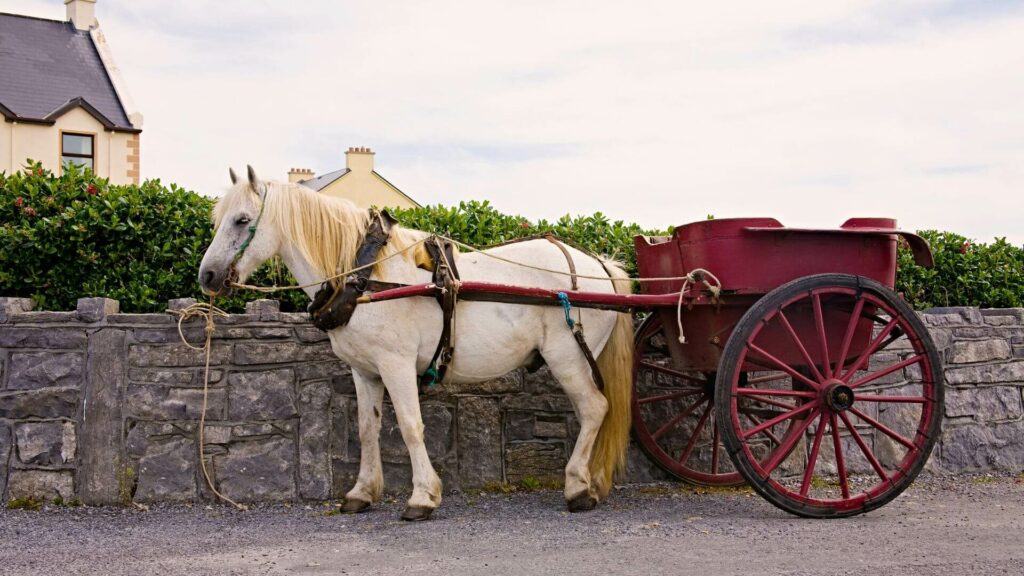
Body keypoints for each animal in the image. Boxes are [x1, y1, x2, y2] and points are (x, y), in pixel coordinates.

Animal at [198, 167, 630, 520]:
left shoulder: (397, 364)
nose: (207, 275)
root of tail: (599, 265)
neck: (364, 276)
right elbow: (366, 428)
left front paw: (423, 497)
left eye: (242, 220)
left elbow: (409, 426)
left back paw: (577, 487)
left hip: (566, 355)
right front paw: (362, 492)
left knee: (594, 409)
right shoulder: (364, 371)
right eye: (219, 220)